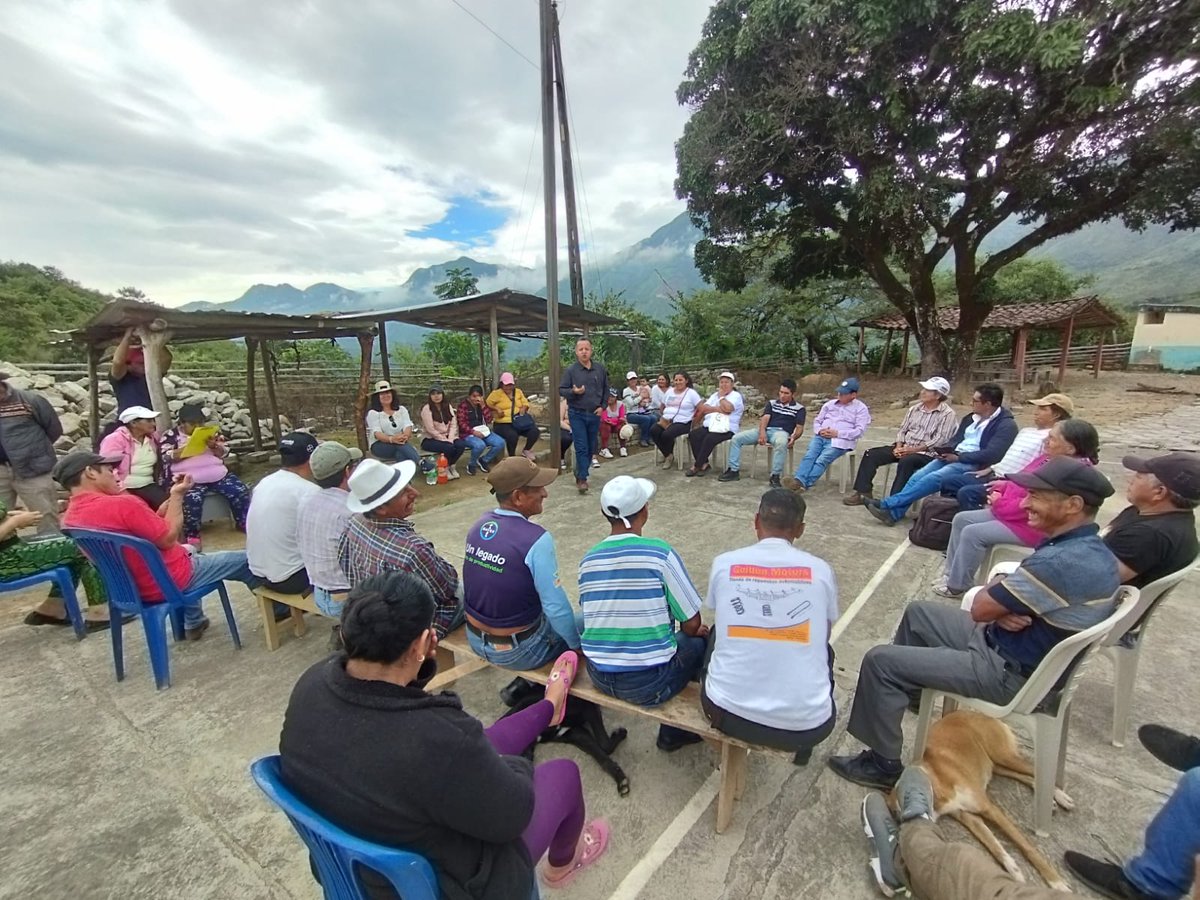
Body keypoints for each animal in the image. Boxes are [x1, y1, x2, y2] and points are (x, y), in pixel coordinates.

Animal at [902, 710, 1075, 897]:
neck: (937, 781)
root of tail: (972, 711)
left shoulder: (991, 809)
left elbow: (1025, 845)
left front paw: (1056, 881)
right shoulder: (970, 818)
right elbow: (994, 845)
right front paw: (1013, 868)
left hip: (1003, 756)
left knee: (1037, 772)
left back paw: (1061, 796)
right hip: (996, 764)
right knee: (1025, 776)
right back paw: (1051, 799)